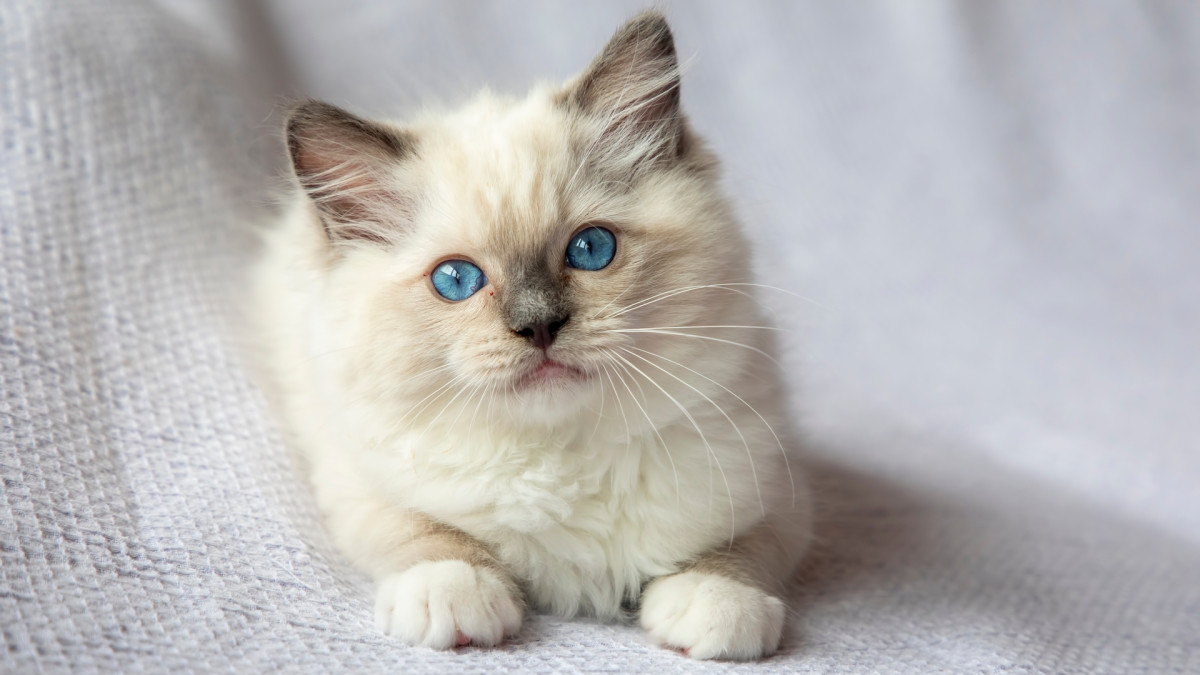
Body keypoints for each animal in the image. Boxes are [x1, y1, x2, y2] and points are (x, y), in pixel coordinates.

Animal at [254, 10, 816, 658]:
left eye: (591, 249)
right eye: (456, 280)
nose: (538, 325)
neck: (563, 459)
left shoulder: (779, 490)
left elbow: (738, 551)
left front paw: (715, 606)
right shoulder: (358, 478)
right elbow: (423, 532)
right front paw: (453, 595)